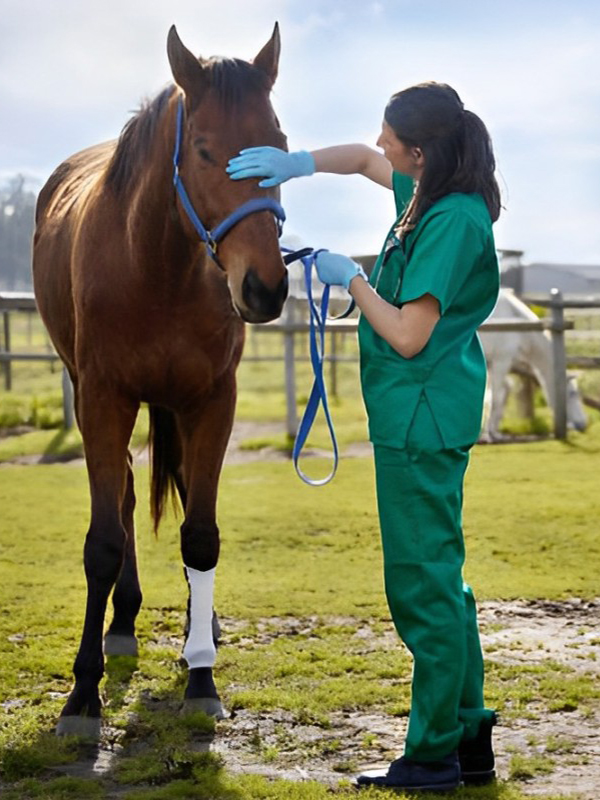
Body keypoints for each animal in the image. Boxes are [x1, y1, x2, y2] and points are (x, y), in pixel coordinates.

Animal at [33, 25, 290, 736]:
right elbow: (102, 542)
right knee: (121, 495)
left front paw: (201, 676)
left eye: (280, 143)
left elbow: (200, 535)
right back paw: (121, 622)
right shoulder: (102, 399)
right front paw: (82, 693)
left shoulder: (213, 402)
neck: (155, 267)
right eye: (203, 150)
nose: (264, 286)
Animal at [480, 288, 588, 438]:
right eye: (572, 393)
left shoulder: (492, 364)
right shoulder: (501, 361)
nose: (583, 424)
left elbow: (497, 394)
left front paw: (491, 431)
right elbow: (495, 398)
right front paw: (489, 434)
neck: (516, 324)